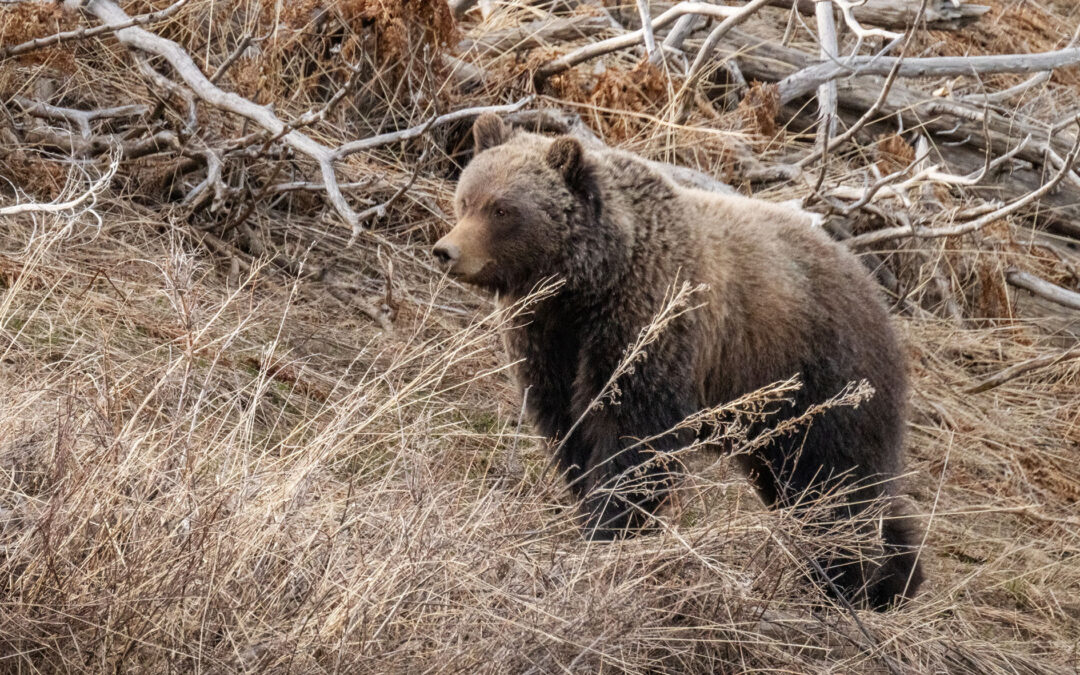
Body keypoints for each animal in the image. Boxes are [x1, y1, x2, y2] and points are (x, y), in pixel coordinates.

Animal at [432, 113, 925, 610]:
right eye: (466, 198)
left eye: (502, 209)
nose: (446, 251)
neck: (585, 289)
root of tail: (874, 288)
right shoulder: (548, 342)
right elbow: (567, 427)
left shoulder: (649, 325)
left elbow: (633, 439)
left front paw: (608, 527)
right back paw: (894, 578)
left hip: (821, 375)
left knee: (834, 480)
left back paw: (846, 581)